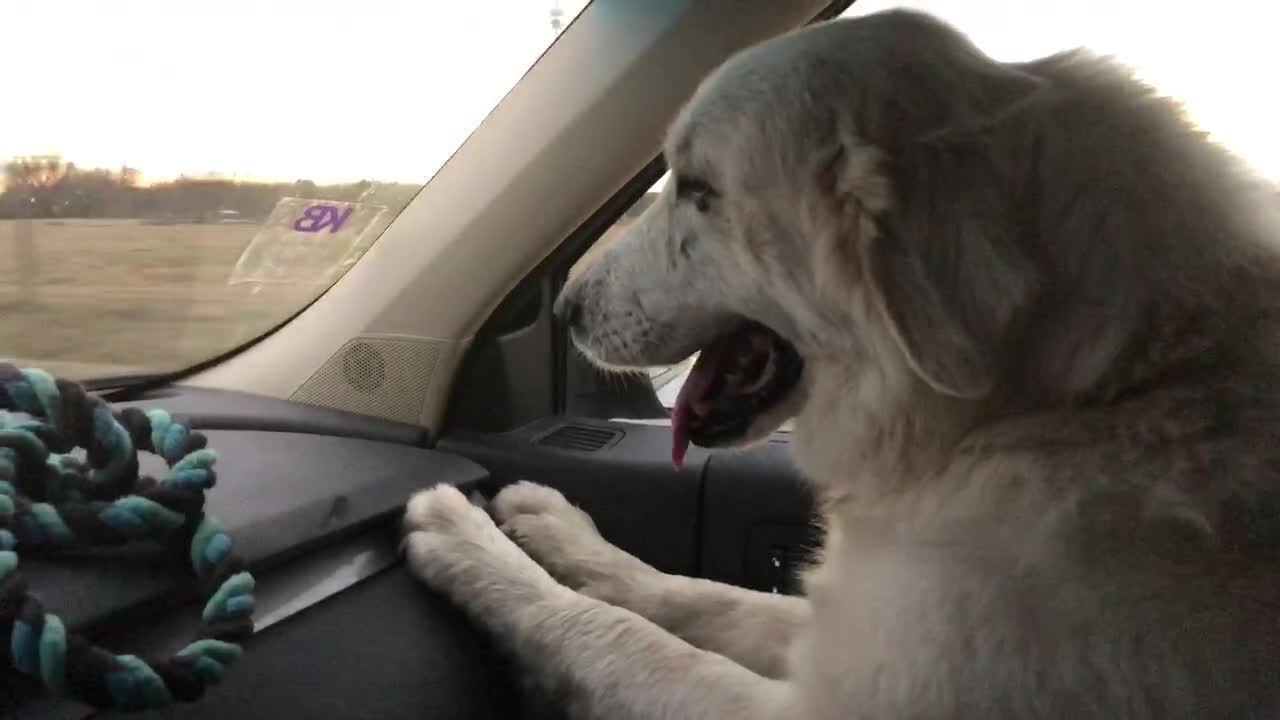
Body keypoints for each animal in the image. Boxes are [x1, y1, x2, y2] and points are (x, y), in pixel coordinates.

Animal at [404, 7, 1280, 717]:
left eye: (699, 189)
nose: (566, 309)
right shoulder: (841, 628)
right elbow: (696, 596)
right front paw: (557, 533)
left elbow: (620, 636)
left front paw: (467, 540)